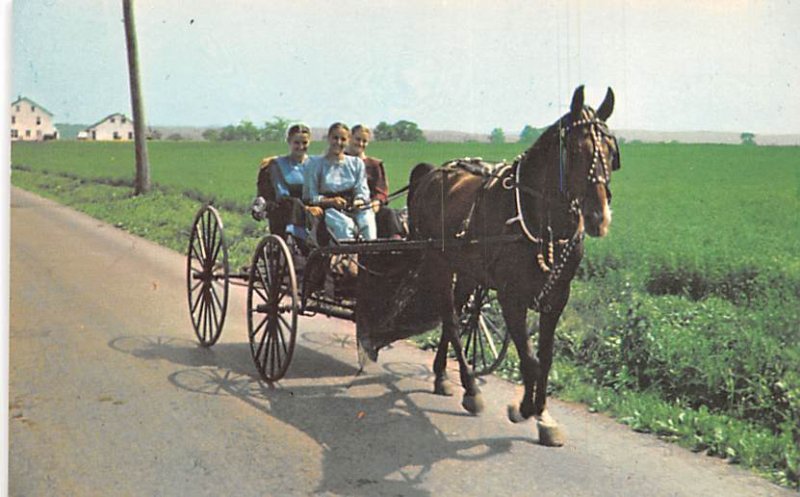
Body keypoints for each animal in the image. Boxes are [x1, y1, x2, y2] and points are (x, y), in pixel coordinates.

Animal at [410, 85, 620, 446]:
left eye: (611, 151)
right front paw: (524, 409)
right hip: (439, 262)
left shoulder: (557, 298)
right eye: (574, 151)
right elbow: (530, 359)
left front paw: (544, 415)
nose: (599, 218)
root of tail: (435, 172)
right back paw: (470, 388)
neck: (539, 219)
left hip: (468, 271)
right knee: (450, 318)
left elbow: (546, 358)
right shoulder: (512, 298)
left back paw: (441, 376)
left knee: (457, 315)